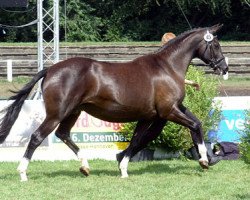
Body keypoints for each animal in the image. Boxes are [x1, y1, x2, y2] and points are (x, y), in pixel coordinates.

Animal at [0, 24, 228, 180]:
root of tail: (50, 69)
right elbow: (194, 125)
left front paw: (123, 168)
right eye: (216, 44)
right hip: (57, 114)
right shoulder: (168, 111)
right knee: (37, 137)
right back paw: (23, 173)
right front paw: (204, 160)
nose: (224, 68)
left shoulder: (154, 115)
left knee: (63, 134)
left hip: (73, 112)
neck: (167, 68)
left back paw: (85, 166)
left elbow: (138, 139)